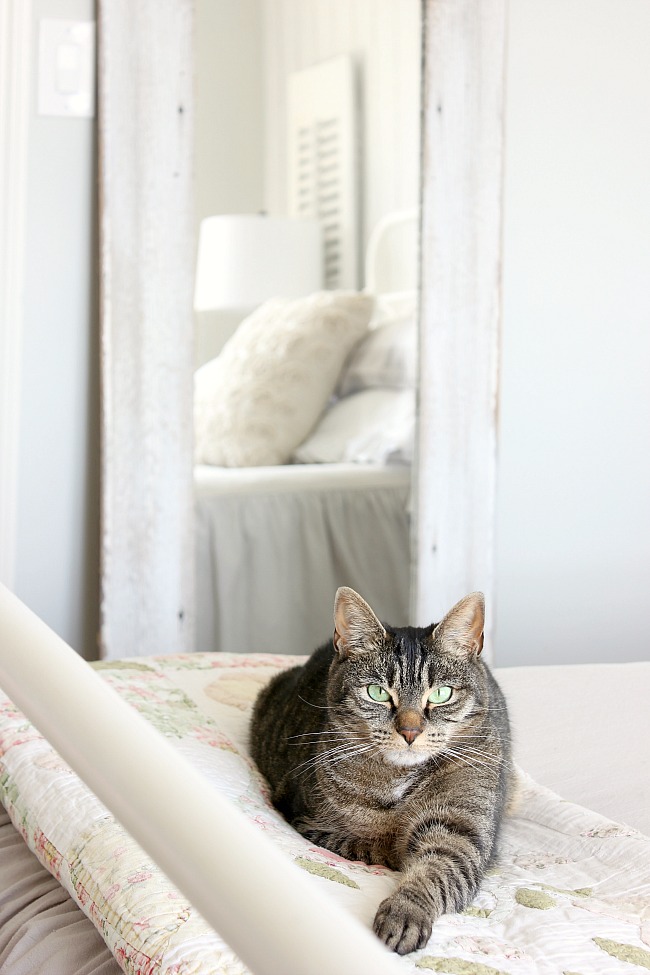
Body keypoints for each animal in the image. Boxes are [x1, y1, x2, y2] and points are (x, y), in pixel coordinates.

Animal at [251, 588, 508, 952]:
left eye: (441, 694)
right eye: (377, 693)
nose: (410, 731)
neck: (397, 784)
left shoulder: (462, 827)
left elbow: (436, 867)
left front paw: (405, 912)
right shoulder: (309, 819)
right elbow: (368, 845)